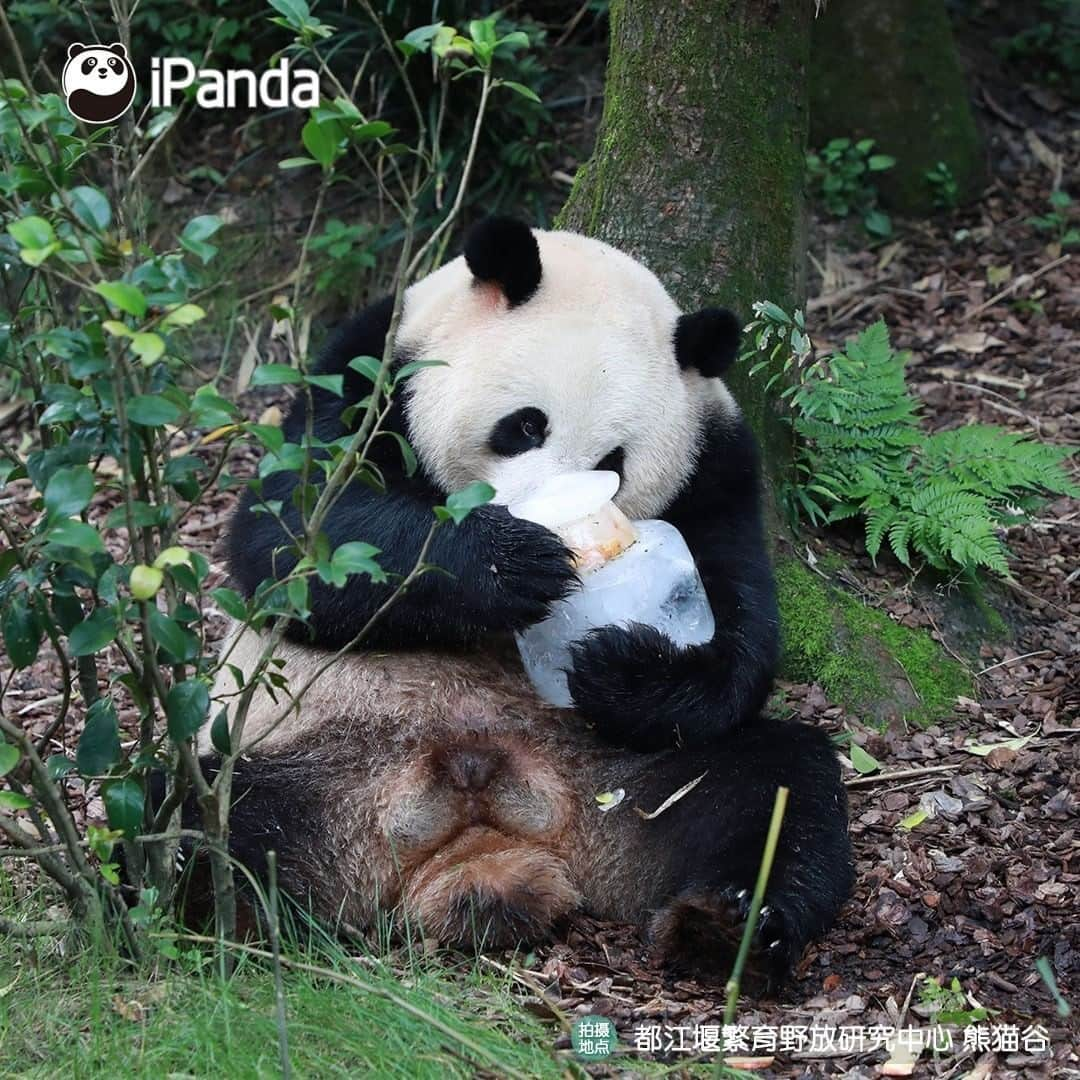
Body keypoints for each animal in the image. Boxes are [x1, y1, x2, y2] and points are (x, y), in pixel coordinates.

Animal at [208, 214, 851, 984]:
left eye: (613, 463)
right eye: (525, 425)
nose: (556, 510)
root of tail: (482, 834)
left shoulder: (716, 462)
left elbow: (741, 626)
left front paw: (623, 666)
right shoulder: (362, 375)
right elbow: (289, 537)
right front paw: (511, 563)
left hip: (627, 777)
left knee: (775, 790)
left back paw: (726, 926)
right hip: (314, 767)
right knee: (206, 819)